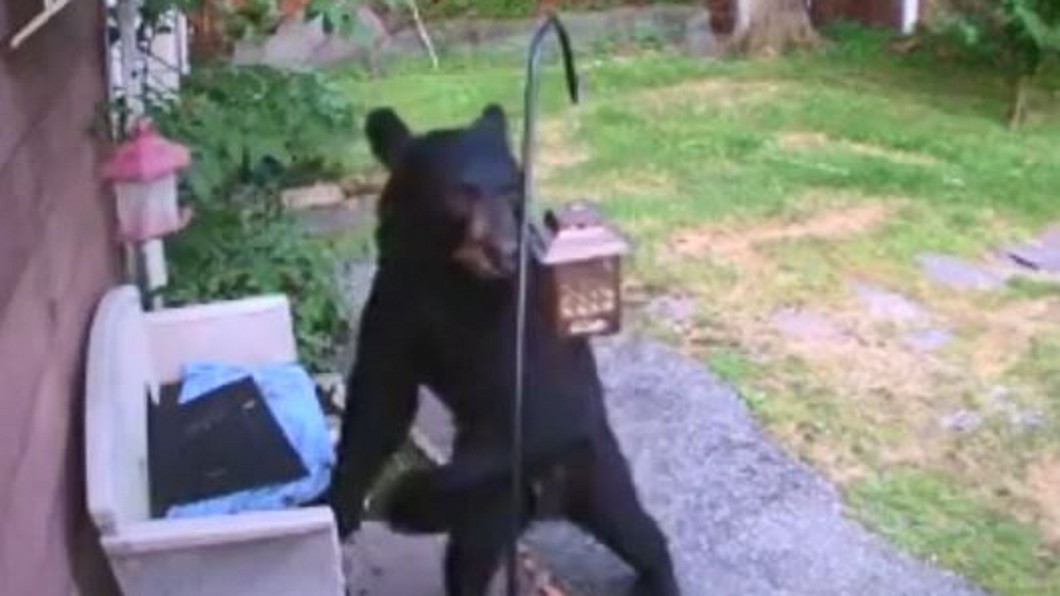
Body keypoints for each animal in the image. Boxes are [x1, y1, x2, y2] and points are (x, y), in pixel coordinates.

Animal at [326, 103, 680, 596]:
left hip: (589, 461)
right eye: (462, 193)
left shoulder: (524, 323)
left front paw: (406, 498)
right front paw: (337, 508)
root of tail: (551, 499)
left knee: (630, 524)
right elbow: (380, 401)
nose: (506, 250)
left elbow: (543, 405)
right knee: (471, 555)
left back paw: (655, 574)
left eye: (512, 189)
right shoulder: (395, 302)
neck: (452, 277)